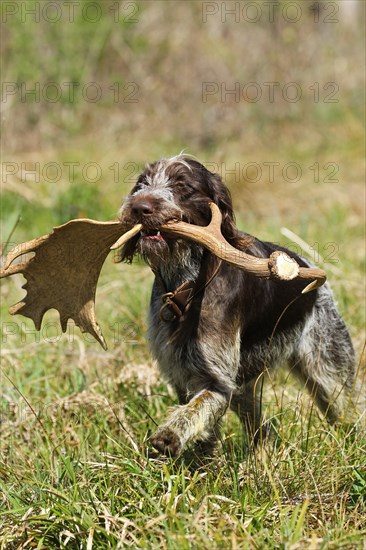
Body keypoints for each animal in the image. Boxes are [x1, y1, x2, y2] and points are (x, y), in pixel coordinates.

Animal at [119, 155, 360, 458]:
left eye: (182, 184)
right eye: (142, 183)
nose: (139, 207)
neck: (188, 286)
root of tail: (306, 265)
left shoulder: (217, 381)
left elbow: (195, 410)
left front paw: (170, 435)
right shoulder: (182, 374)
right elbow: (203, 431)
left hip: (330, 374)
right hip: (246, 386)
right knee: (264, 431)